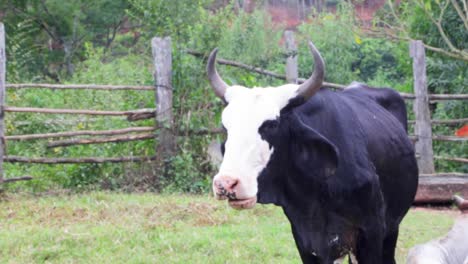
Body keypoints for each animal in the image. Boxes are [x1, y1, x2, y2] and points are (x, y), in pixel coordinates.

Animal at [207, 41, 418, 264]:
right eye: (225, 126)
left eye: (271, 125)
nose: (226, 184)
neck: (318, 189)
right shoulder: (305, 240)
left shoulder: (372, 232)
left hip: (391, 230)